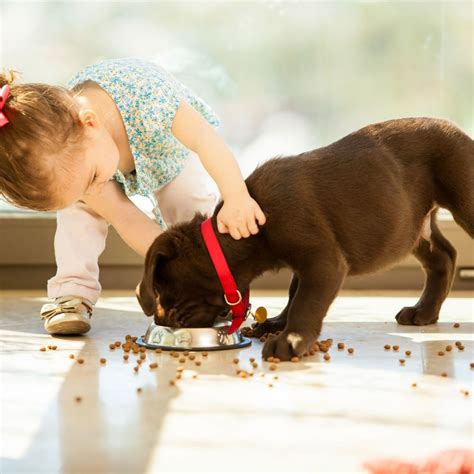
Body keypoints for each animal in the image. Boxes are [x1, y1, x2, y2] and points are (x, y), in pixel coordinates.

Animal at [135, 116, 472, 362]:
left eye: (163, 290)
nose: (162, 318)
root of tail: (459, 130)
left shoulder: (323, 261)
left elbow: (306, 302)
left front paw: (290, 340)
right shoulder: (306, 261)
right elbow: (294, 292)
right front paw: (277, 324)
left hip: (463, 203)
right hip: (412, 228)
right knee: (444, 257)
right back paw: (424, 312)